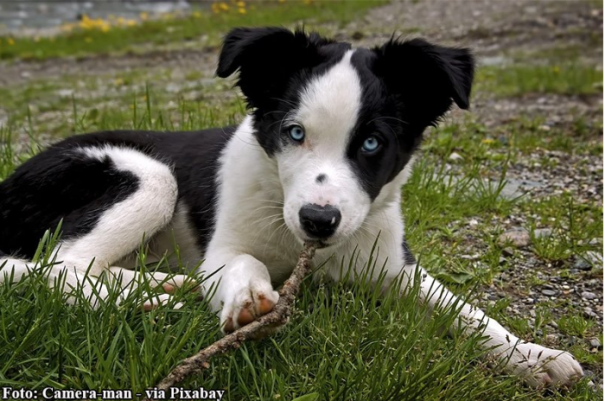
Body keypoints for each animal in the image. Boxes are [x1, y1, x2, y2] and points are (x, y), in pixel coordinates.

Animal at [1, 26, 584, 386]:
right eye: (294, 133)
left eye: (371, 143)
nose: (319, 221)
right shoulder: (221, 252)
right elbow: (241, 262)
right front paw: (249, 297)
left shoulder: (392, 265)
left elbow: (463, 309)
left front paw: (533, 355)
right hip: (150, 176)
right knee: (56, 265)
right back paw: (148, 296)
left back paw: (154, 288)